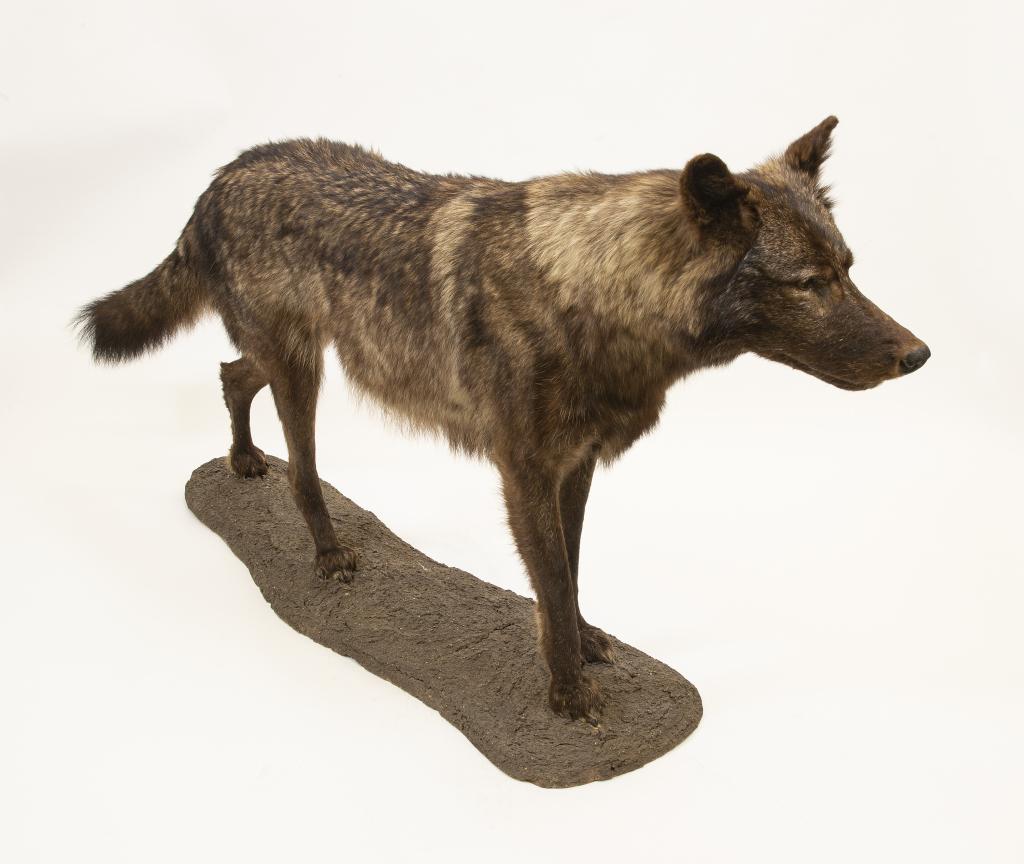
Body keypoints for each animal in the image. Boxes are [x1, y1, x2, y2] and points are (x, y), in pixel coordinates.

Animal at [76, 116, 930, 722]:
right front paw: (569, 696)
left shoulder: (576, 467)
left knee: (230, 376)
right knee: (304, 473)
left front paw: (581, 646)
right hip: (304, 372)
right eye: (810, 283)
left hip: (304, 357)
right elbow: (548, 580)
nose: (918, 356)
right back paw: (325, 551)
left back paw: (244, 462)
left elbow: (572, 575)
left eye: (848, 269)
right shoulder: (523, 473)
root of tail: (222, 176)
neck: (594, 293)